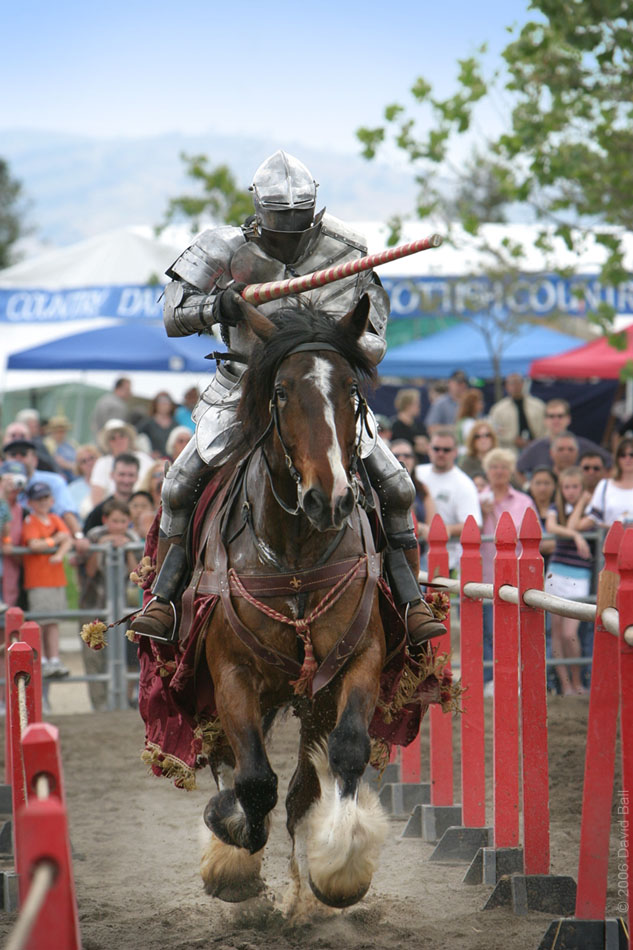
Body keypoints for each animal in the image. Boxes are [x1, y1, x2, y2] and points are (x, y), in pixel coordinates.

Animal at [198, 296, 388, 916]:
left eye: (350, 389)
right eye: (281, 392)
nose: (329, 499)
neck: (296, 555)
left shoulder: (357, 660)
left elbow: (348, 752)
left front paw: (341, 870)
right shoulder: (231, 673)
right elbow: (254, 780)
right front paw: (231, 851)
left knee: (304, 787)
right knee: (236, 764)